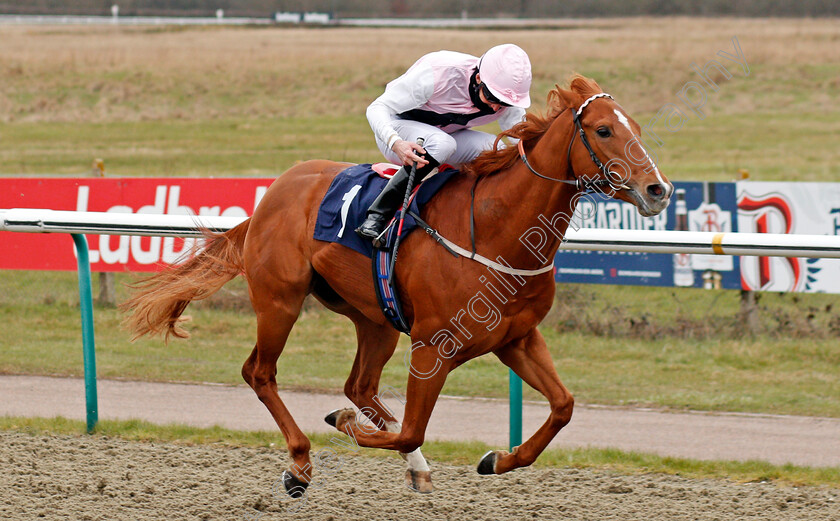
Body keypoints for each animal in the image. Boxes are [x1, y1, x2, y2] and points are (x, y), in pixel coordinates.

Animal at [124, 76, 672, 496]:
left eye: (636, 127)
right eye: (603, 129)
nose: (658, 190)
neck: (497, 232)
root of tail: (272, 193)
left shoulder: (516, 339)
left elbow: (563, 406)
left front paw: (497, 459)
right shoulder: (433, 347)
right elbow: (410, 430)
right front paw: (345, 425)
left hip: (375, 318)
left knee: (359, 385)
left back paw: (408, 463)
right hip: (279, 300)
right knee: (260, 373)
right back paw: (301, 463)